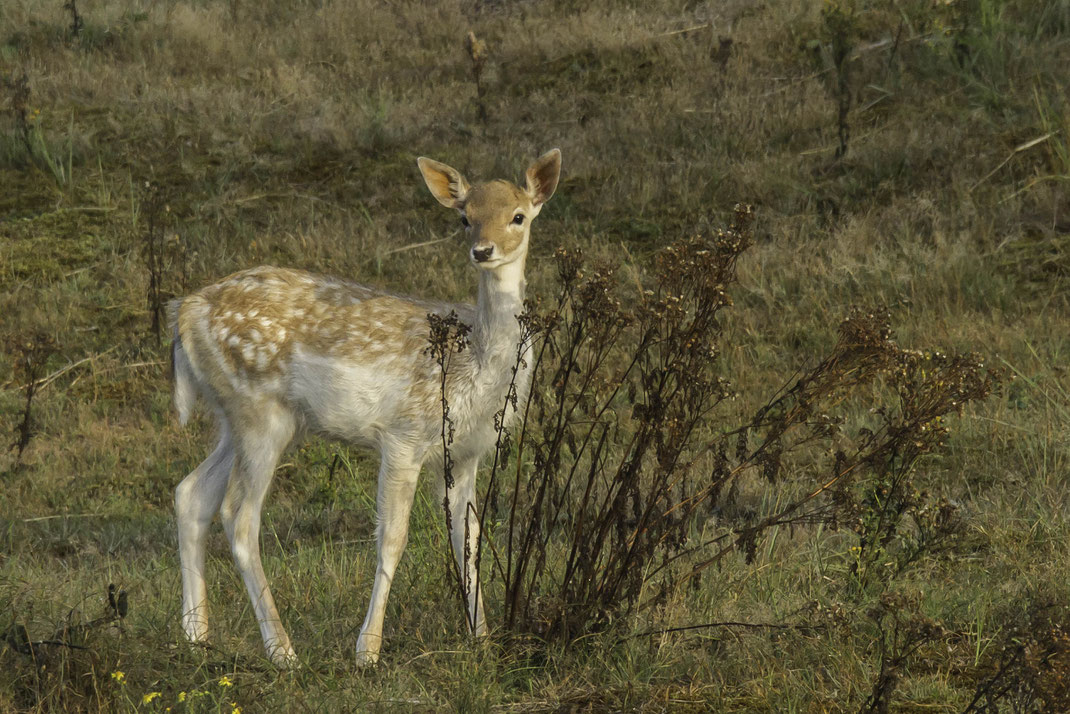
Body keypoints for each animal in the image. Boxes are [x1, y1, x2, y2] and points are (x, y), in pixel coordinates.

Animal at [169, 147, 560, 667]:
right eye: (464, 217)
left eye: (518, 215)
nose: (483, 250)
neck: (473, 365)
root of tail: (185, 313)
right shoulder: (404, 435)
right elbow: (392, 538)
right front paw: (367, 652)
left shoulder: (465, 451)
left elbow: (469, 538)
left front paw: (483, 640)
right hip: (260, 412)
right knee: (238, 516)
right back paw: (283, 651)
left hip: (241, 415)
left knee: (191, 492)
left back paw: (197, 635)